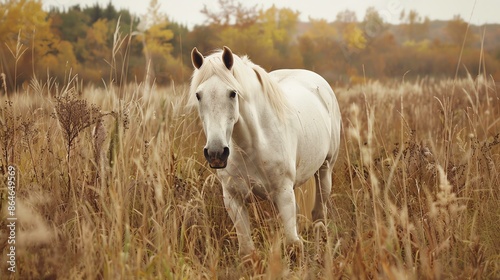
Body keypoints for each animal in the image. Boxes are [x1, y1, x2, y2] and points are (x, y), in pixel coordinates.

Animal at [189, 46, 342, 258]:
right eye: (198, 95)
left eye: (232, 93)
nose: (216, 153)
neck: (252, 145)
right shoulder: (233, 198)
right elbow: (247, 251)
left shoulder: (283, 193)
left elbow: (293, 245)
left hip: (325, 170)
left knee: (319, 215)